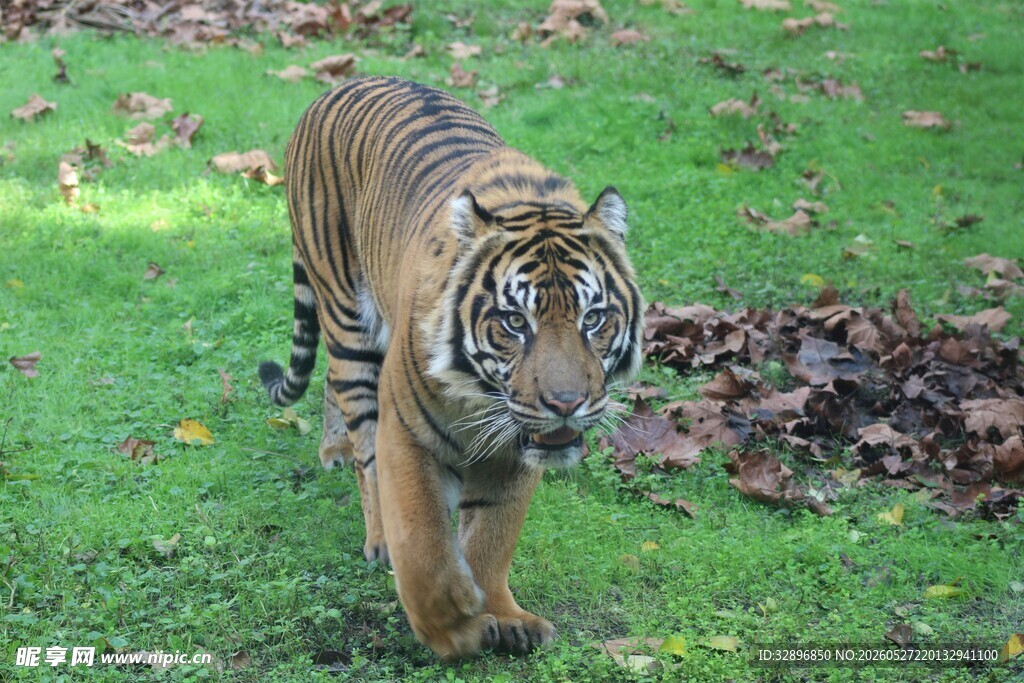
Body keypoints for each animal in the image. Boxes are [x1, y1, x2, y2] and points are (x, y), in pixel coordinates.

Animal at [258, 76, 643, 660]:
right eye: (514, 321)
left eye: (593, 318)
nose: (566, 404)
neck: (480, 396)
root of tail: (338, 86)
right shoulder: (406, 432)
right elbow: (421, 537)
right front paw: (448, 621)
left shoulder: (515, 449)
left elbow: (492, 534)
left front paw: (500, 614)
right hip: (347, 319)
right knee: (362, 441)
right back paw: (373, 528)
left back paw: (331, 449)